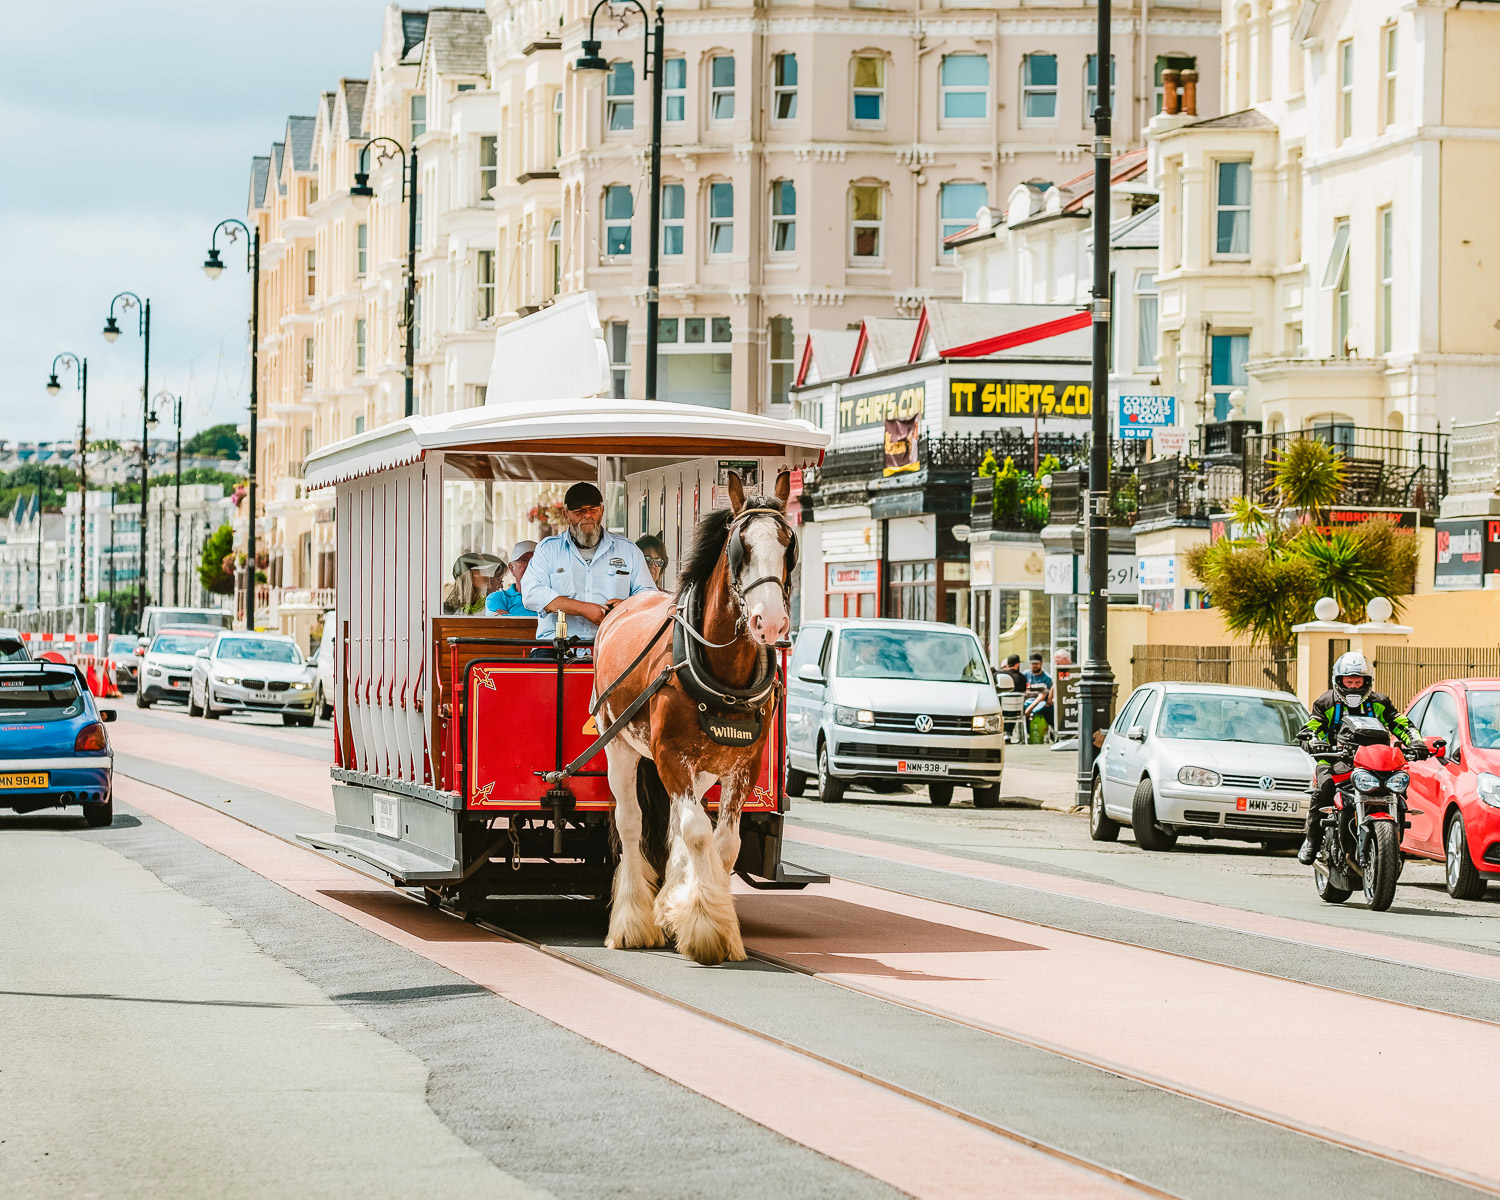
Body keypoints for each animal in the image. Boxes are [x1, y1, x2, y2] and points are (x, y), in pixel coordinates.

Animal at [591, 468, 798, 966]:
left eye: (788, 543)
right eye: (741, 546)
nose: (771, 623)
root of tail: (620, 606)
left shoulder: (744, 765)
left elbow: (723, 843)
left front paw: (699, 915)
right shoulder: (669, 755)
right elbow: (698, 834)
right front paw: (707, 930)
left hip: (701, 767)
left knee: (673, 827)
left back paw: (668, 902)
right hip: (620, 746)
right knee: (631, 822)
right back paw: (633, 922)